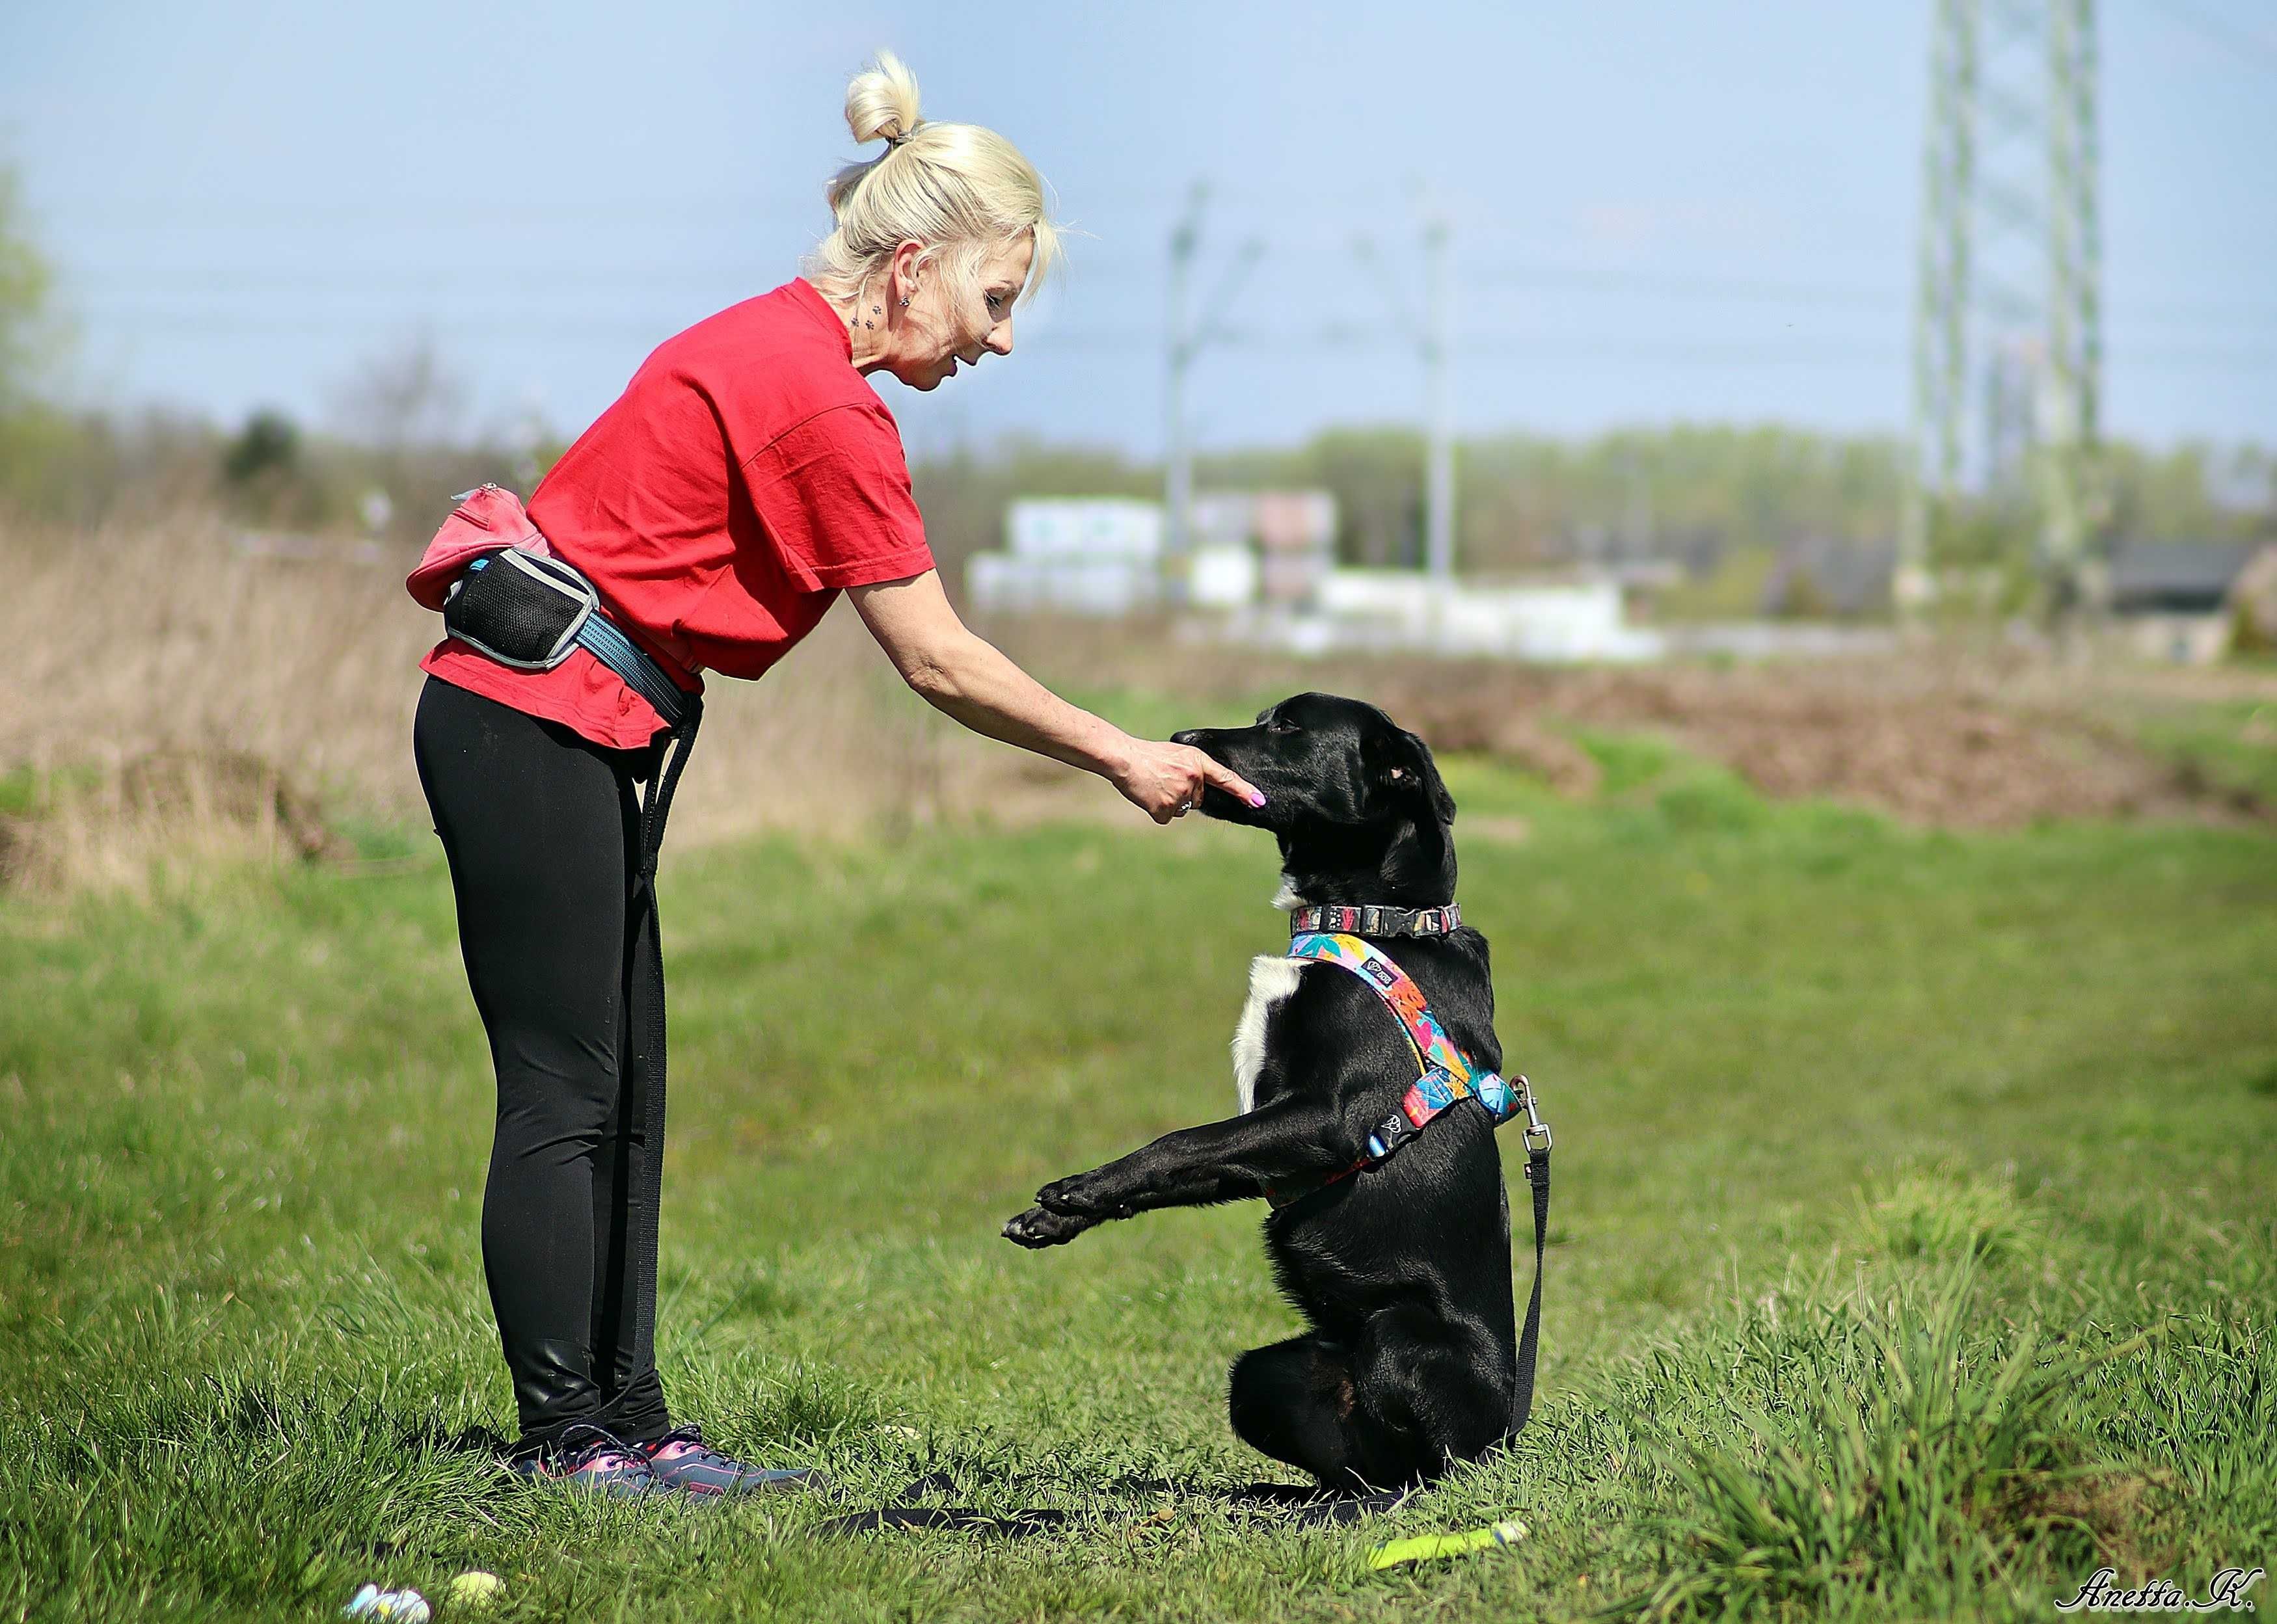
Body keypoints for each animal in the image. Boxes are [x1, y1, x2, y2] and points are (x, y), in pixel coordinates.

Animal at [1002, 692, 1548, 1485]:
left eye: (1289, 726)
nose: (1180, 737)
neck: (1376, 922)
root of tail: (1508, 1429)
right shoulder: (1268, 1145)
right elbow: (1189, 1161)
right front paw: (1058, 1216)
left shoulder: (1326, 1119)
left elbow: (1177, 1142)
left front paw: (1075, 1190)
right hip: (1260, 1376)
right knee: (1350, 1464)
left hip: (1397, 1337)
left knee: (1434, 1465)